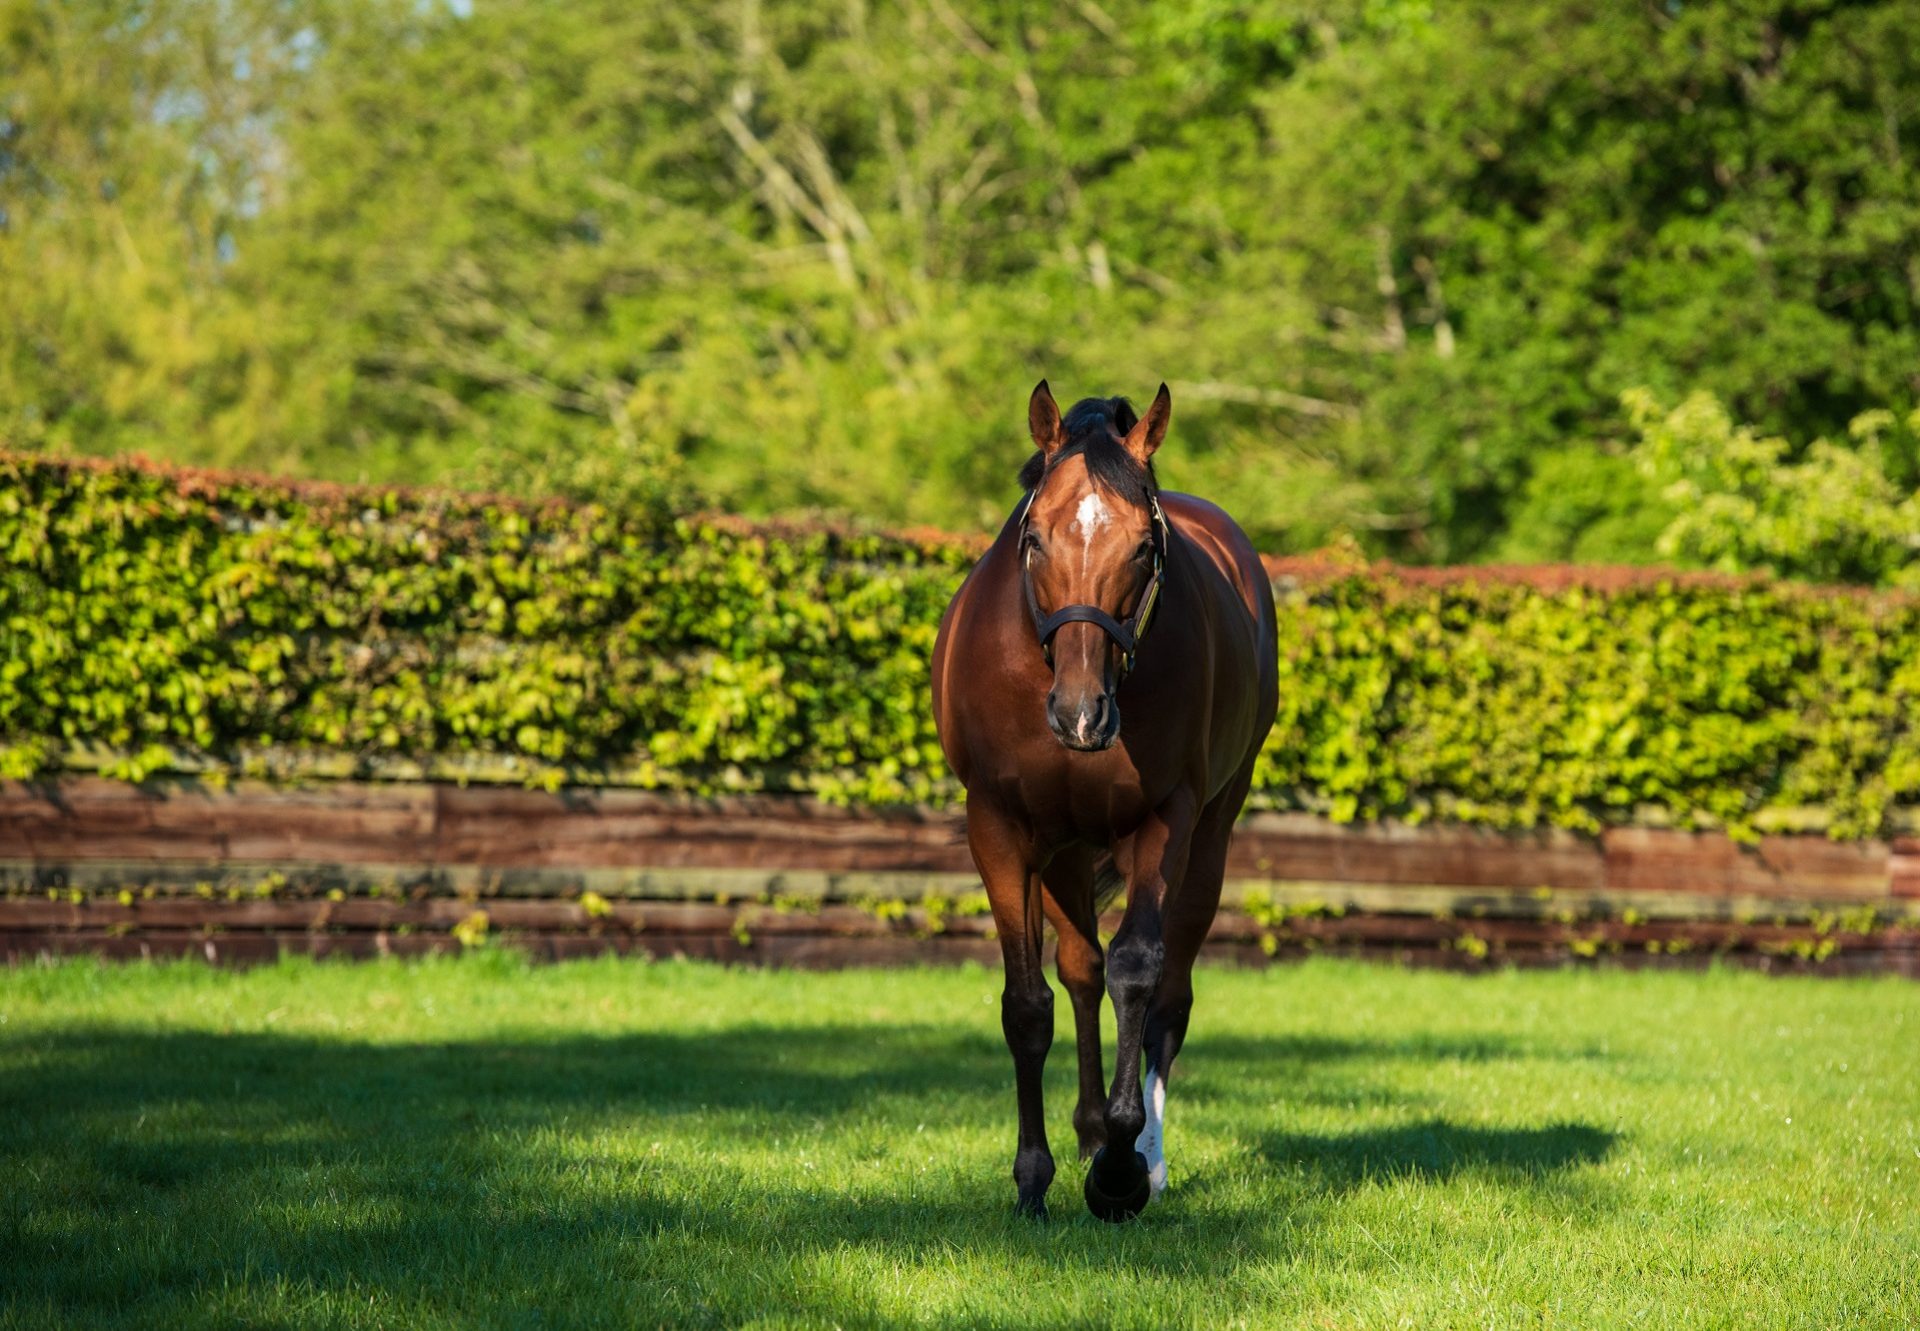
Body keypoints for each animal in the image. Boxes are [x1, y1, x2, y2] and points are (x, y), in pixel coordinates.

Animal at [929, 378, 1274, 1221]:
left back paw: (1143, 1150)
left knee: (1168, 992)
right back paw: (1085, 1131)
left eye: (1144, 548)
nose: (1081, 713)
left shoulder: (1164, 819)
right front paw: (1034, 1176)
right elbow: (1029, 1003)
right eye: (1033, 540)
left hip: (1209, 835)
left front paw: (1119, 1170)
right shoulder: (999, 826)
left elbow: (1138, 970)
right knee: (1081, 969)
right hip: (1064, 850)